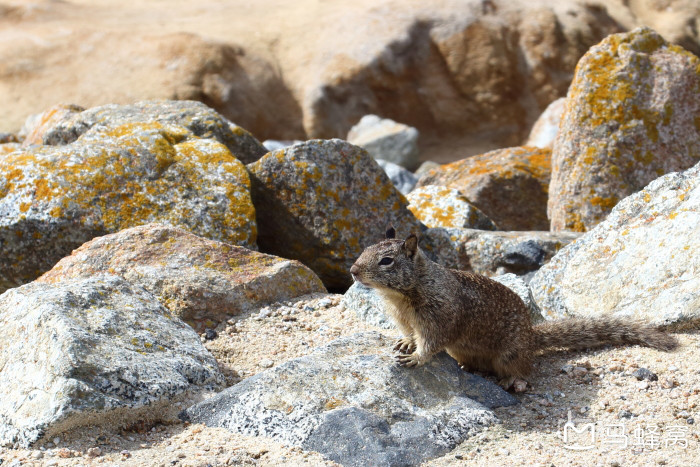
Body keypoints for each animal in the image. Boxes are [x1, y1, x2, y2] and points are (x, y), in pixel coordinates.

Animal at [350, 227, 680, 388]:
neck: (402, 295)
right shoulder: (402, 317)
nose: (352, 270)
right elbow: (408, 333)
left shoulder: (439, 316)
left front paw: (415, 358)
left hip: (509, 353)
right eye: (364, 249)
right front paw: (406, 343)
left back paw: (512, 382)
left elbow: (432, 343)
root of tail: (532, 336)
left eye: (386, 261)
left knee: (523, 370)